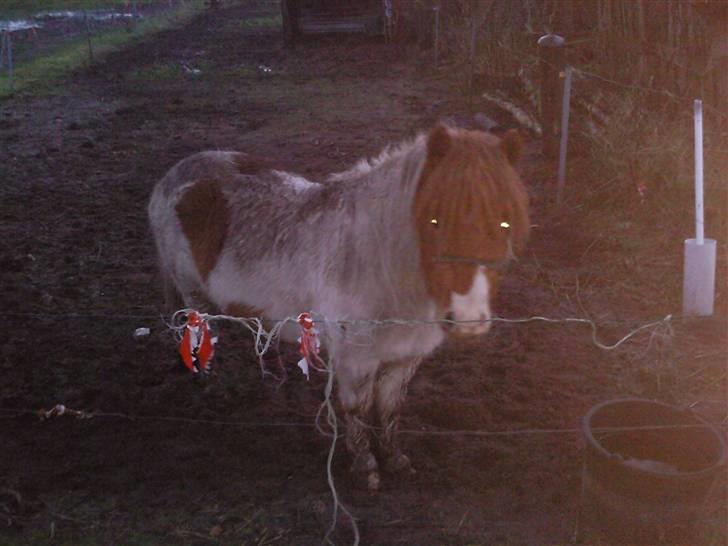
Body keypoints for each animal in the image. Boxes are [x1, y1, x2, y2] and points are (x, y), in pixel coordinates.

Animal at [148, 124, 532, 488]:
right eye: (435, 219)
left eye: (505, 221)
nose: (469, 316)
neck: (378, 262)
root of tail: (173, 178)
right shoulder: (355, 356)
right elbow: (357, 407)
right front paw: (366, 467)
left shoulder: (405, 355)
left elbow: (389, 408)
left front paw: (395, 460)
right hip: (194, 295)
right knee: (200, 336)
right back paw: (213, 387)